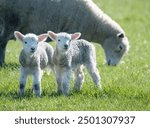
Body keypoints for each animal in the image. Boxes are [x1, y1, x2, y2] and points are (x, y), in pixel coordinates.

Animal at [0, 0, 129, 66]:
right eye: (120, 47)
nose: (113, 65)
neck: (94, 26)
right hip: (9, 21)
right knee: (2, 42)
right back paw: (2, 63)